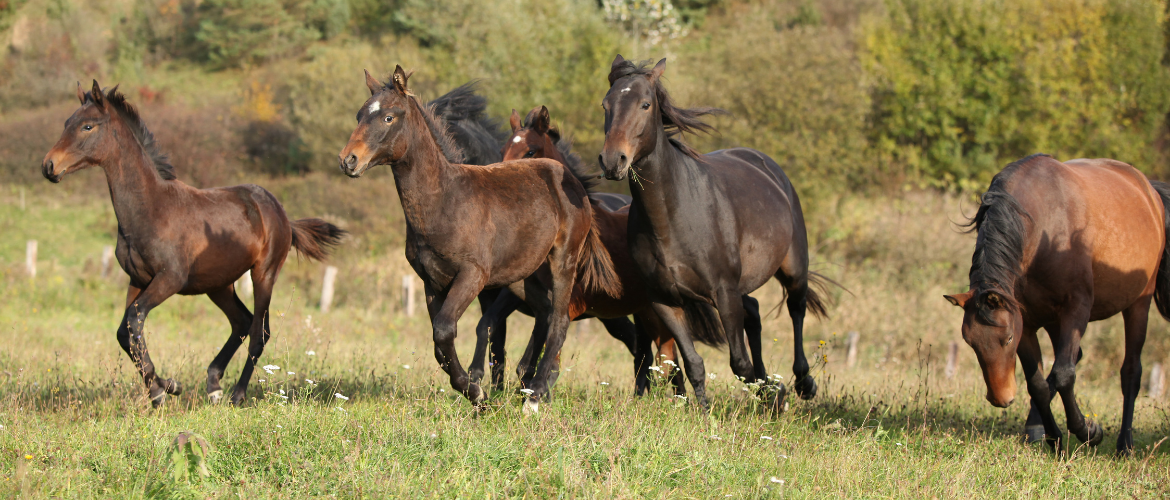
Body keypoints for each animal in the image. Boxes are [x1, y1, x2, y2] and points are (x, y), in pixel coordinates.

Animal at [41, 81, 341, 409]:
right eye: (66, 123)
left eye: (87, 126)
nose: (49, 166)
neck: (151, 208)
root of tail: (282, 214)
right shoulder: (137, 279)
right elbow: (125, 332)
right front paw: (165, 386)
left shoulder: (170, 279)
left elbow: (134, 320)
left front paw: (161, 390)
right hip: (219, 284)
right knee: (241, 322)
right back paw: (213, 384)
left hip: (264, 273)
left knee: (259, 331)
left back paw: (237, 394)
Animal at [336, 67, 622, 412]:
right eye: (359, 115)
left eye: (389, 117)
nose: (348, 160)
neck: (446, 200)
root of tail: (575, 184)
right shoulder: (431, 282)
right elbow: (441, 344)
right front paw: (476, 394)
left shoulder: (473, 275)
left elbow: (445, 330)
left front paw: (477, 393)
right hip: (524, 278)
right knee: (545, 314)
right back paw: (529, 384)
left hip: (563, 263)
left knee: (559, 320)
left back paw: (536, 395)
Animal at [594, 56, 833, 409]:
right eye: (606, 104)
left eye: (645, 104)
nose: (613, 160)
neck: (672, 218)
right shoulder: (664, 300)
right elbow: (694, 363)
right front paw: (706, 412)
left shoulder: (724, 292)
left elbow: (739, 364)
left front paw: (768, 398)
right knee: (755, 313)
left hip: (793, 268)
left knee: (796, 309)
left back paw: (803, 383)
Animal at [940, 154, 1170, 456]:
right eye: (970, 342)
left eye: (1007, 338)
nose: (1001, 398)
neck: (1044, 229)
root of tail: (1149, 190)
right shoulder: (1026, 322)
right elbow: (1038, 384)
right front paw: (1055, 438)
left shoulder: (1075, 310)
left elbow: (1063, 374)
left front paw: (1089, 431)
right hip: (1052, 321)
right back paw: (1036, 428)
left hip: (1138, 304)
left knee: (1130, 372)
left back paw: (1125, 445)